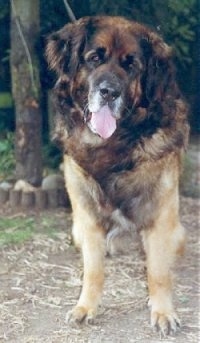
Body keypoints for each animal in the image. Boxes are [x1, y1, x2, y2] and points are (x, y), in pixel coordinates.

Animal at [45, 16, 189, 336]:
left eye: (131, 65)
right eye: (94, 59)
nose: (109, 92)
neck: (115, 145)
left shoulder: (160, 216)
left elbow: (158, 272)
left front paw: (163, 312)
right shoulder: (87, 216)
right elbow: (93, 270)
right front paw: (86, 307)